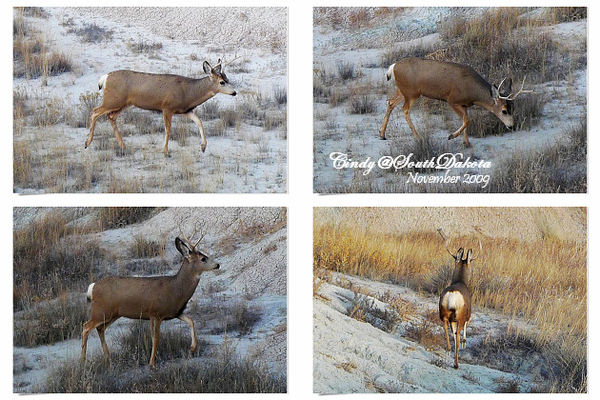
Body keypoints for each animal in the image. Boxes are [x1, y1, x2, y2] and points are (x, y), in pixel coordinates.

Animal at [81, 228, 219, 368]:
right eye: (203, 258)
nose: (217, 264)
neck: (175, 289)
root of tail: (93, 286)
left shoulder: (175, 312)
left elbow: (191, 321)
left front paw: (192, 347)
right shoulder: (155, 313)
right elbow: (156, 338)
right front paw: (152, 363)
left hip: (113, 314)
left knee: (100, 329)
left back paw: (109, 360)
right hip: (101, 311)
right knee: (86, 327)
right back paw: (83, 361)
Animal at [84, 59, 237, 156]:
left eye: (227, 79)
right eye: (222, 82)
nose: (234, 92)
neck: (188, 92)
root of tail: (105, 78)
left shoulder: (186, 110)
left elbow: (199, 121)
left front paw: (203, 147)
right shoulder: (167, 107)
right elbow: (168, 129)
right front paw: (165, 151)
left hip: (123, 103)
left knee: (110, 116)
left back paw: (123, 146)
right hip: (113, 100)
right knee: (95, 111)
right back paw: (87, 142)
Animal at [382, 57, 532, 147]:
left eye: (513, 108)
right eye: (504, 110)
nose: (512, 126)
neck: (473, 92)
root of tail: (393, 67)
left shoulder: (465, 104)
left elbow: (466, 120)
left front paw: (467, 143)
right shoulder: (452, 100)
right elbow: (467, 120)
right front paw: (451, 136)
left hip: (404, 91)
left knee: (390, 102)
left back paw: (382, 134)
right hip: (412, 93)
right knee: (405, 109)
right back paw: (418, 138)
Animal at [436, 228, 478, 368]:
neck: (460, 281)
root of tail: (452, 294)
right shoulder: (468, 313)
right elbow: (466, 325)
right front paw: (465, 341)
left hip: (443, 313)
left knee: (446, 329)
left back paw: (449, 349)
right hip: (459, 315)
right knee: (458, 335)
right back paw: (456, 363)